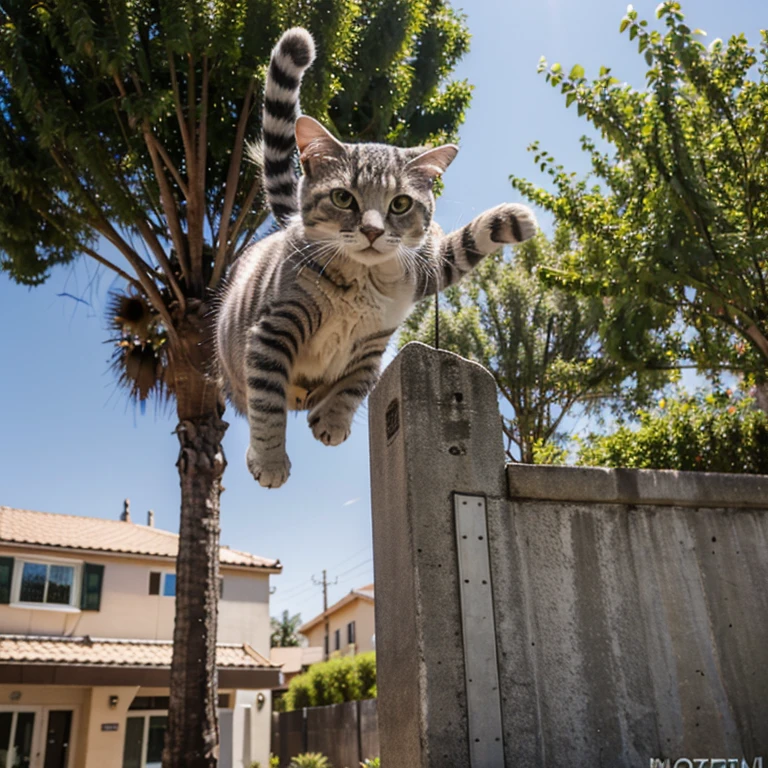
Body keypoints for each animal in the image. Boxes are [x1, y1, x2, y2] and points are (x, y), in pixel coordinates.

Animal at [216, 30, 536, 488]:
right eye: (342, 198)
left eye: (400, 203)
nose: (371, 230)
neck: (363, 283)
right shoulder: (273, 329)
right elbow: (267, 405)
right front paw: (271, 460)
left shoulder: (382, 330)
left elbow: (356, 384)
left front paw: (333, 420)